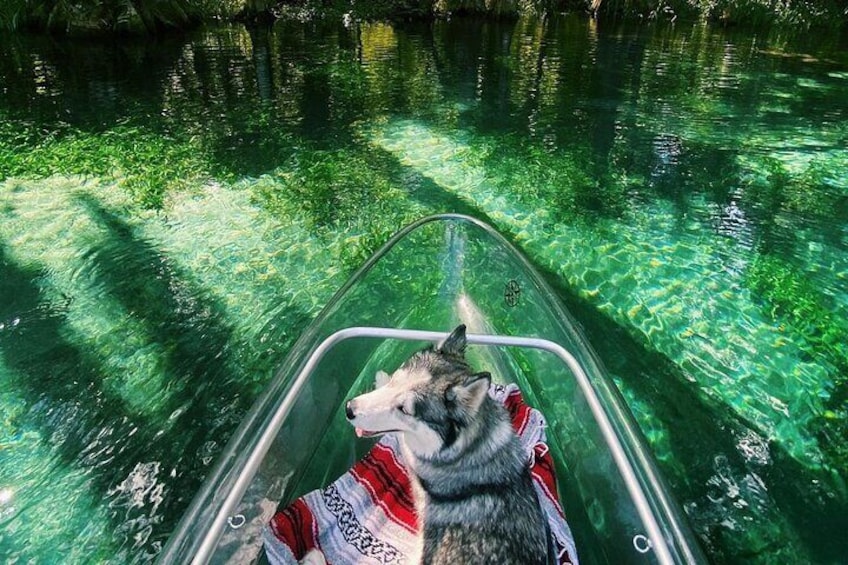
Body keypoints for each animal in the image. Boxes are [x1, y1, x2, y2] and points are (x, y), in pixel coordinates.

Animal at [344, 324, 548, 560]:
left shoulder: (417, 466)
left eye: (404, 410)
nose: (349, 409)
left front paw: (380, 378)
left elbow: (402, 440)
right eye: (396, 379)